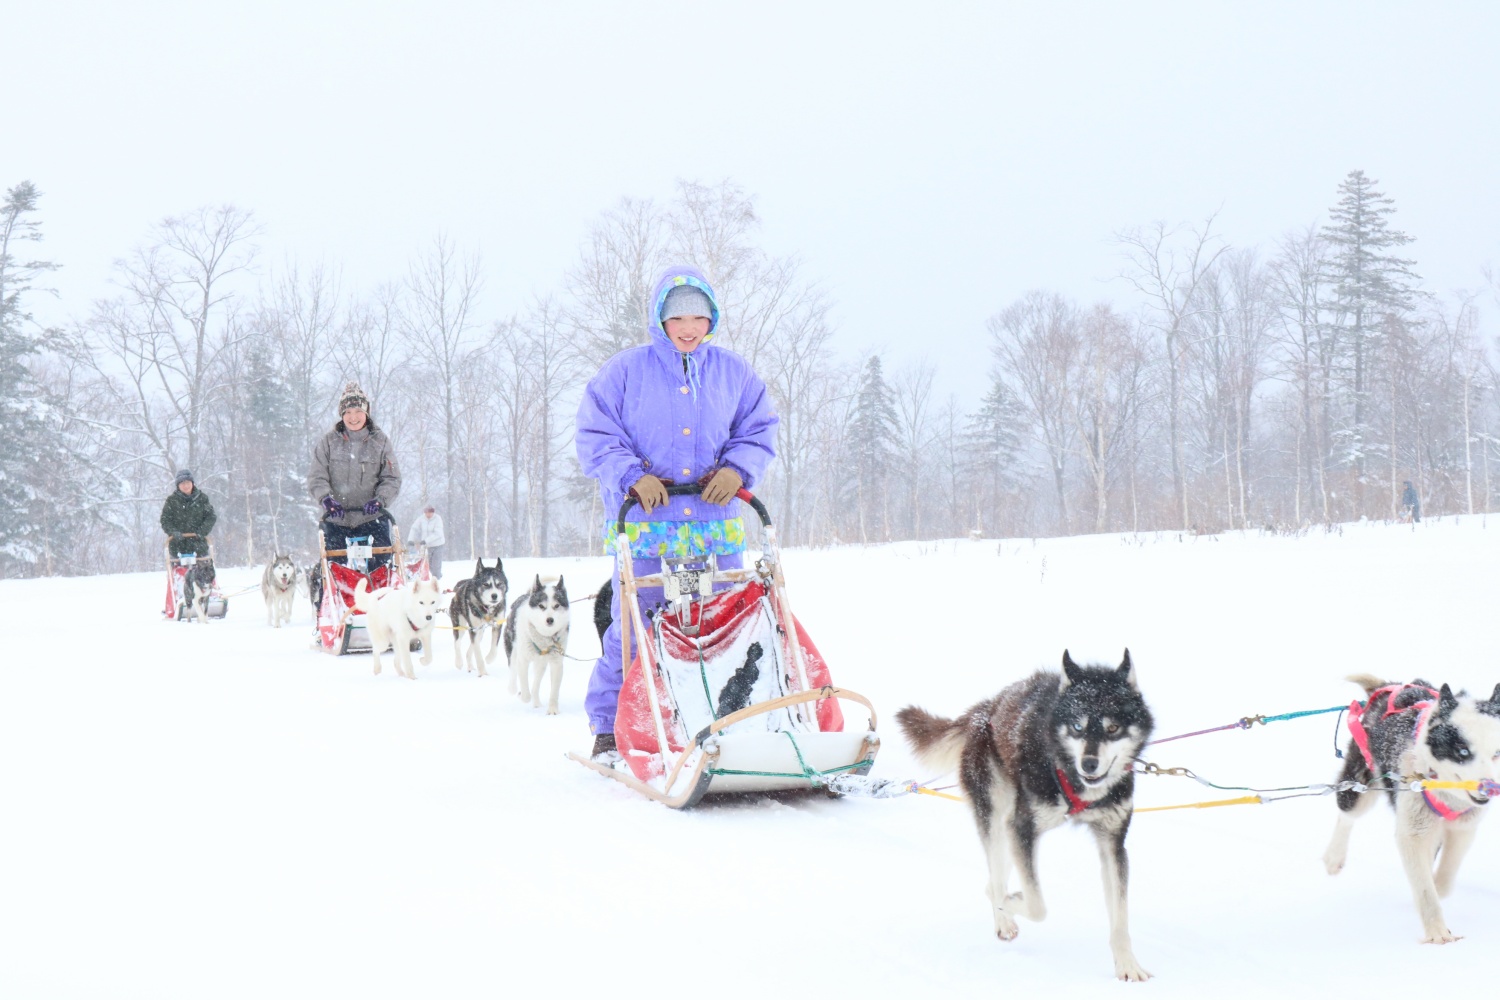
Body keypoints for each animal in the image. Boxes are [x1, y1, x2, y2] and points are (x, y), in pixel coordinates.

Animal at [507, 575, 570, 716]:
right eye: (541, 606)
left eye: (556, 605)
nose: (550, 620)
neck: (544, 637)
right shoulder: (523, 661)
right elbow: (525, 686)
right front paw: (524, 696)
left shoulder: (557, 664)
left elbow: (553, 691)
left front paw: (553, 709)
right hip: (513, 652)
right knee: (513, 673)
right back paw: (513, 690)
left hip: (541, 664)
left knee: (536, 683)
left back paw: (536, 703)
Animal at [894, 650, 1152, 983]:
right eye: (1077, 726)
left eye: (1112, 728)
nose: (1090, 763)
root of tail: (985, 709)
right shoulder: (1023, 828)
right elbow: (1037, 905)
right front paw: (1011, 903)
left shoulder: (1113, 844)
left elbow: (1120, 918)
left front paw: (1127, 965)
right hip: (997, 815)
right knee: (995, 880)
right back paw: (1004, 916)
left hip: (1009, 826)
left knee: (995, 878)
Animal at [1326, 671, 1500, 947]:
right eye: (1462, 751)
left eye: (1497, 753)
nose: (1490, 788)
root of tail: (1389, 686)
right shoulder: (1413, 834)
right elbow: (1426, 890)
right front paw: (1437, 932)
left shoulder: (1463, 829)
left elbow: (1443, 880)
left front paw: (1437, 888)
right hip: (1359, 787)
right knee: (1347, 815)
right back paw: (1334, 856)